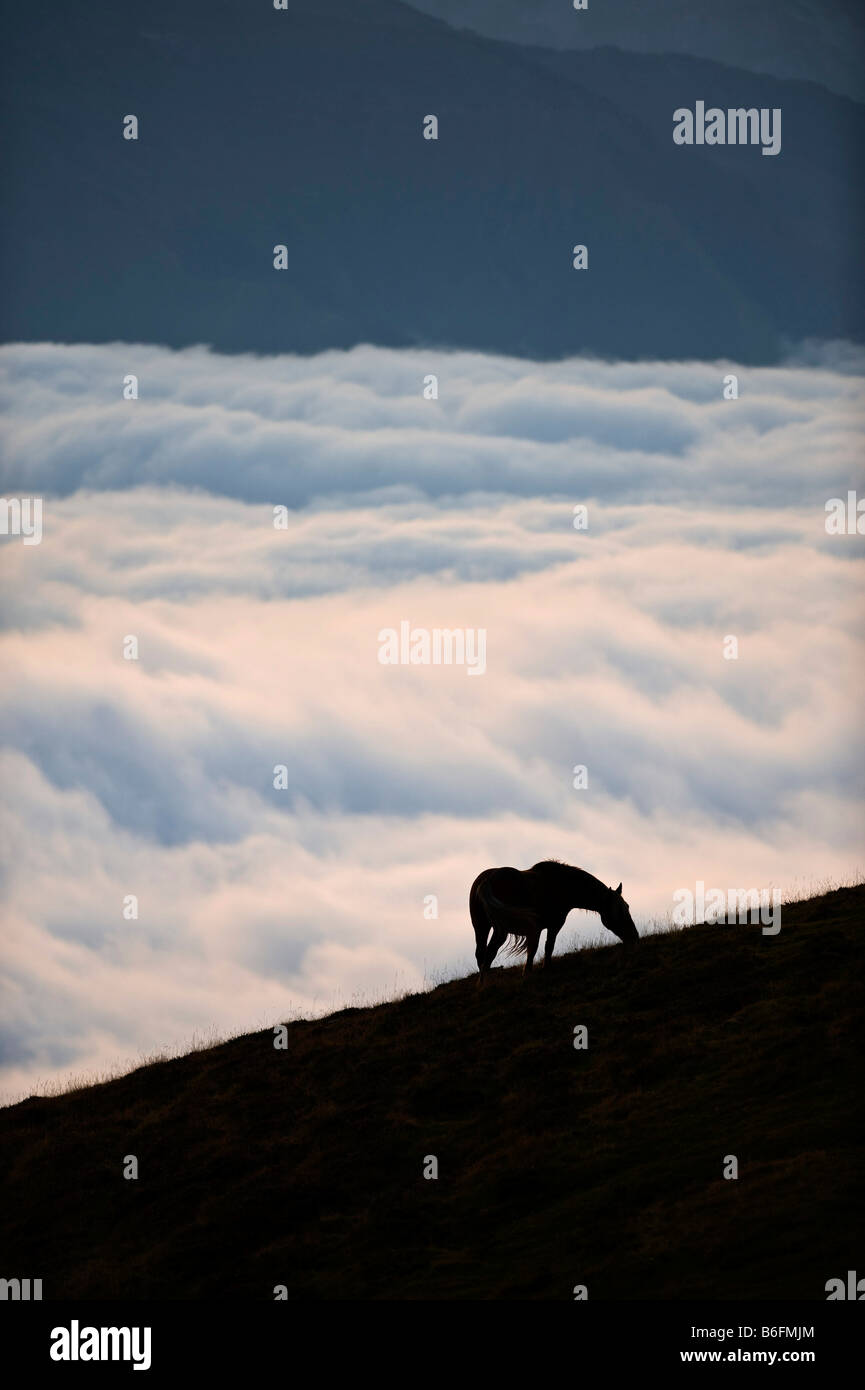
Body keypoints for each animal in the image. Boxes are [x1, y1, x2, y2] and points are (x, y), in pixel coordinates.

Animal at [470, 856, 639, 978]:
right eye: (619, 910)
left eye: (627, 907)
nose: (634, 936)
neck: (561, 885)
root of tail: (488, 879)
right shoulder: (553, 925)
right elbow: (544, 947)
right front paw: (537, 971)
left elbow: (538, 949)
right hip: (501, 929)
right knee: (489, 953)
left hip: (481, 926)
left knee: (481, 953)